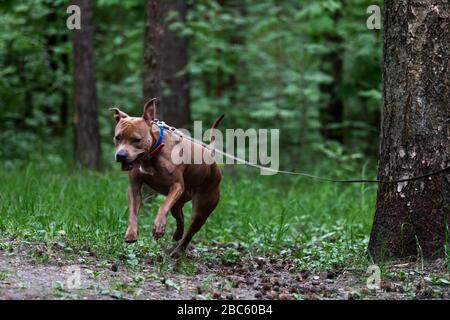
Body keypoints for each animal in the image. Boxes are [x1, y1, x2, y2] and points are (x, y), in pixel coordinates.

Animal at [110, 97, 223, 258]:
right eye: (117, 137)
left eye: (136, 139)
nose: (120, 155)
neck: (152, 154)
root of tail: (209, 154)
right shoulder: (134, 188)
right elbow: (132, 211)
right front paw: (131, 232)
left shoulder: (176, 186)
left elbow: (162, 206)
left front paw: (158, 226)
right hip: (179, 202)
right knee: (179, 217)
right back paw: (177, 234)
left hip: (202, 208)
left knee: (190, 231)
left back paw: (178, 250)